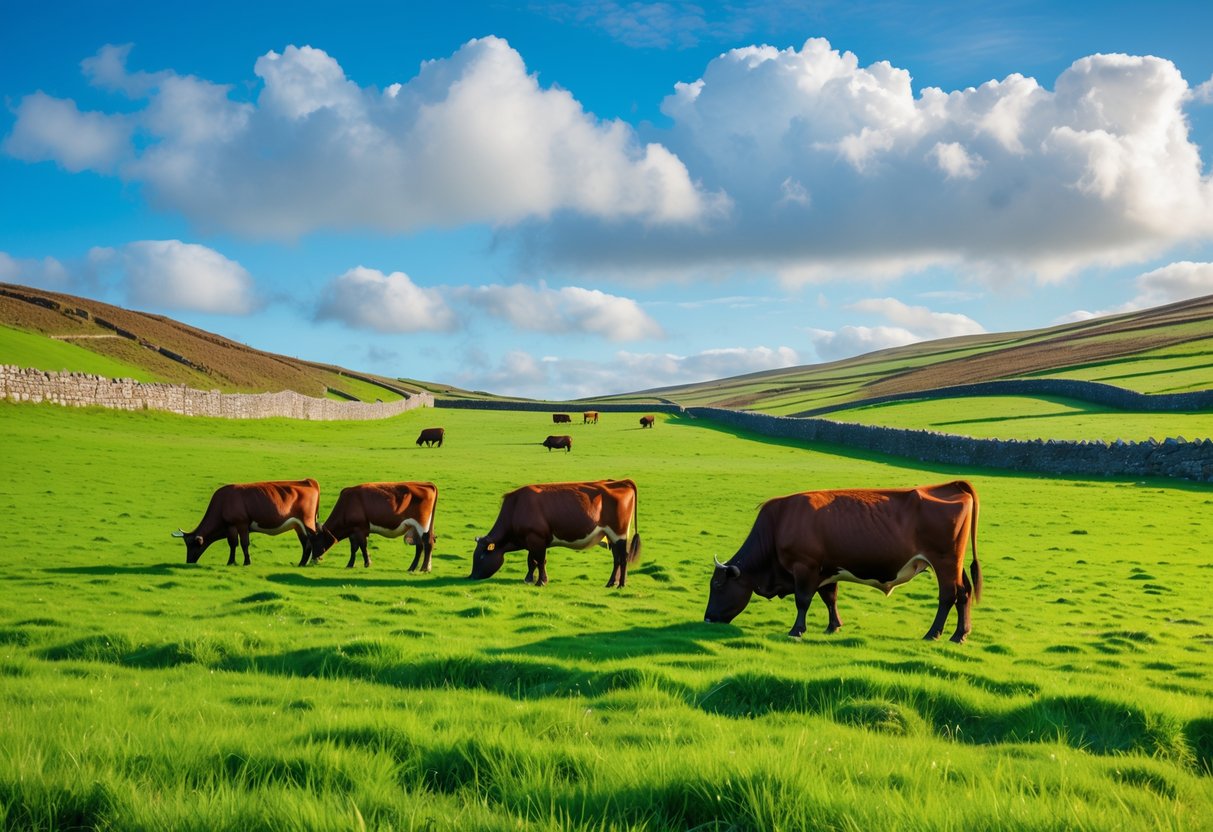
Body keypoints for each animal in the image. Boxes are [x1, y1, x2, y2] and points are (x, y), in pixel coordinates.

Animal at [172, 479, 321, 566]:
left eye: (193, 545)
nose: (188, 562)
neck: (222, 503)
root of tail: (308, 481)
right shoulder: (230, 526)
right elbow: (233, 543)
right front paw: (231, 562)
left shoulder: (242, 524)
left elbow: (244, 543)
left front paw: (246, 562)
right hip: (298, 525)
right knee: (305, 542)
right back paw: (302, 563)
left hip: (307, 521)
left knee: (312, 539)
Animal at [469, 479, 642, 588]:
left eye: (482, 556)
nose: (471, 577)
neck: (516, 507)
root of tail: (620, 481)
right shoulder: (531, 541)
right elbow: (531, 561)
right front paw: (529, 579)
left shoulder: (536, 538)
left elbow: (540, 561)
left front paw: (541, 581)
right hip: (611, 535)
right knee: (617, 559)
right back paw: (611, 583)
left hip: (619, 533)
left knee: (623, 558)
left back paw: (621, 585)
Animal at [704, 481, 982, 643]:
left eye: (717, 585)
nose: (707, 619)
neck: (779, 523)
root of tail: (951, 485)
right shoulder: (827, 569)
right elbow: (830, 598)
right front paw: (833, 627)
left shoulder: (805, 567)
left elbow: (802, 600)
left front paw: (796, 630)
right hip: (955, 564)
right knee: (964, 592)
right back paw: (960, 634)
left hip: (944, 561)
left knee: (948, 596)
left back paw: (933, 634)